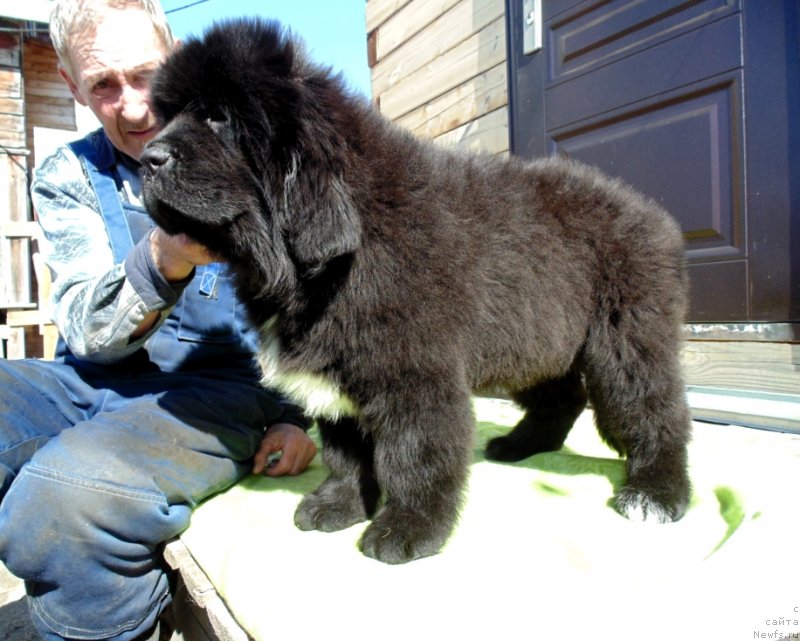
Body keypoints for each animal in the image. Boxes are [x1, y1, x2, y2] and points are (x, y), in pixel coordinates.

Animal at [144, 18, 692, 560]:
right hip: (536, 336)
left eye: (218, 117)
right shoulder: (338, 374)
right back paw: (520, 445)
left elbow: (414, 452)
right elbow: (347, 453)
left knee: (654, 408)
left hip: (625, 337)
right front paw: (339, 505)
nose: (148, 157)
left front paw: (408, 528)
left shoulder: (413, 372)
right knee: (563, 395)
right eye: (166, 117)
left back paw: (656, 492)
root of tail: (654, 215)